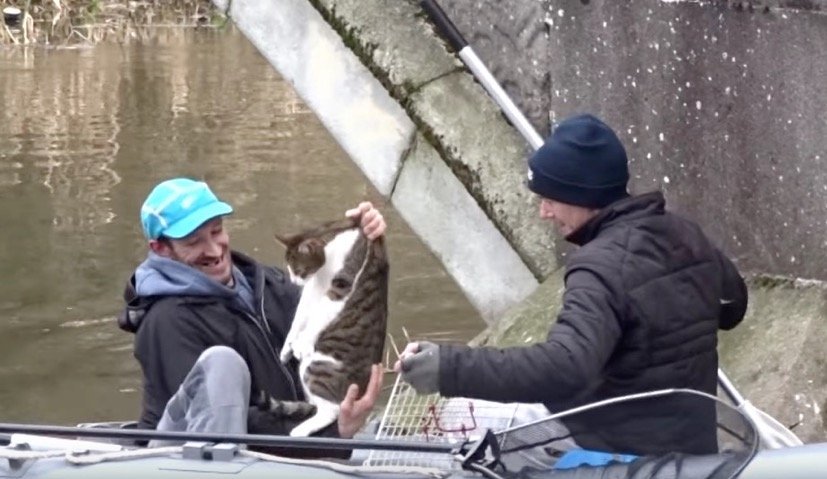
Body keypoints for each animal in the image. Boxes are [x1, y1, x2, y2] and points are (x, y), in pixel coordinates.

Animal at [272, 218, 388, 438]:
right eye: (290, 269)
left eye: (297, 270)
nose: (292, 280)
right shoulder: (313, 288)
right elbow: (300, 317)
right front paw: (287, 348)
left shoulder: (341, 286)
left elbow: (318, 317)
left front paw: (300, 344)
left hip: (316, 366)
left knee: (332, 410)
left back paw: (299, 431)